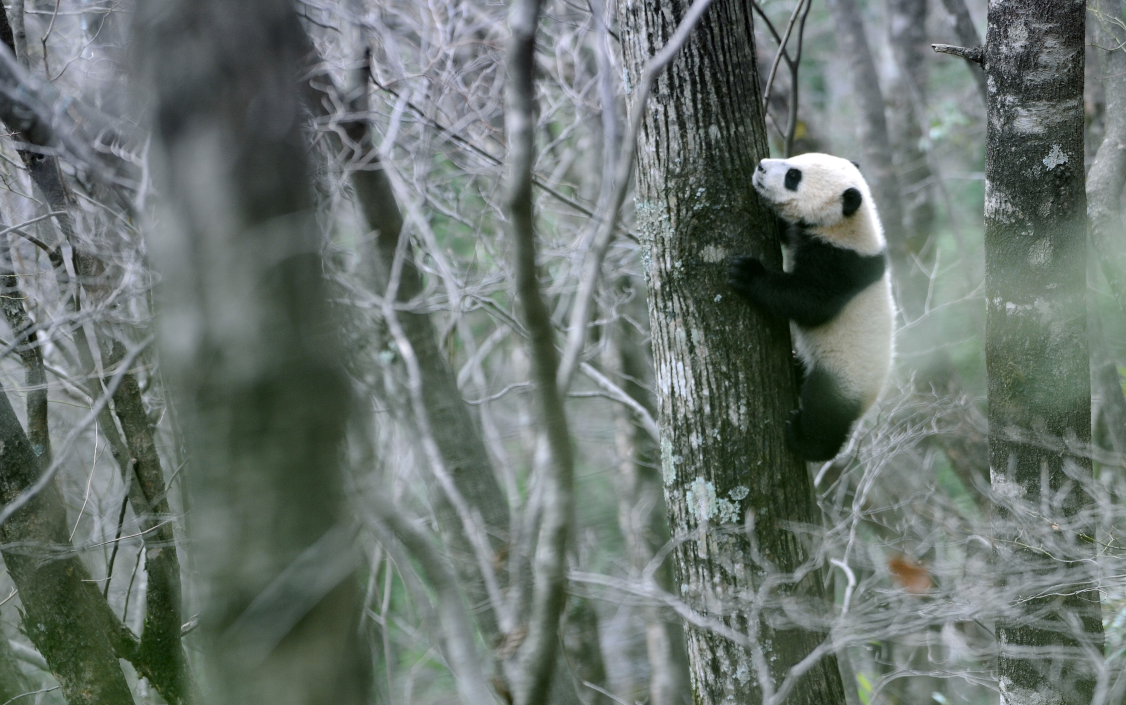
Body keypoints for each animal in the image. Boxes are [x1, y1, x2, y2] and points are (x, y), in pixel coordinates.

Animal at [729, 152, 896, 461]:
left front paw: (747, 273)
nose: (760, 166)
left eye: (793, 176)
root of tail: (870, 401)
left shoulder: (842, 265)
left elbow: (808, 301)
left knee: (824, 412)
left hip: (843, 374)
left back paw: (803, 439)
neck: (848, 223)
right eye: (793, 159)